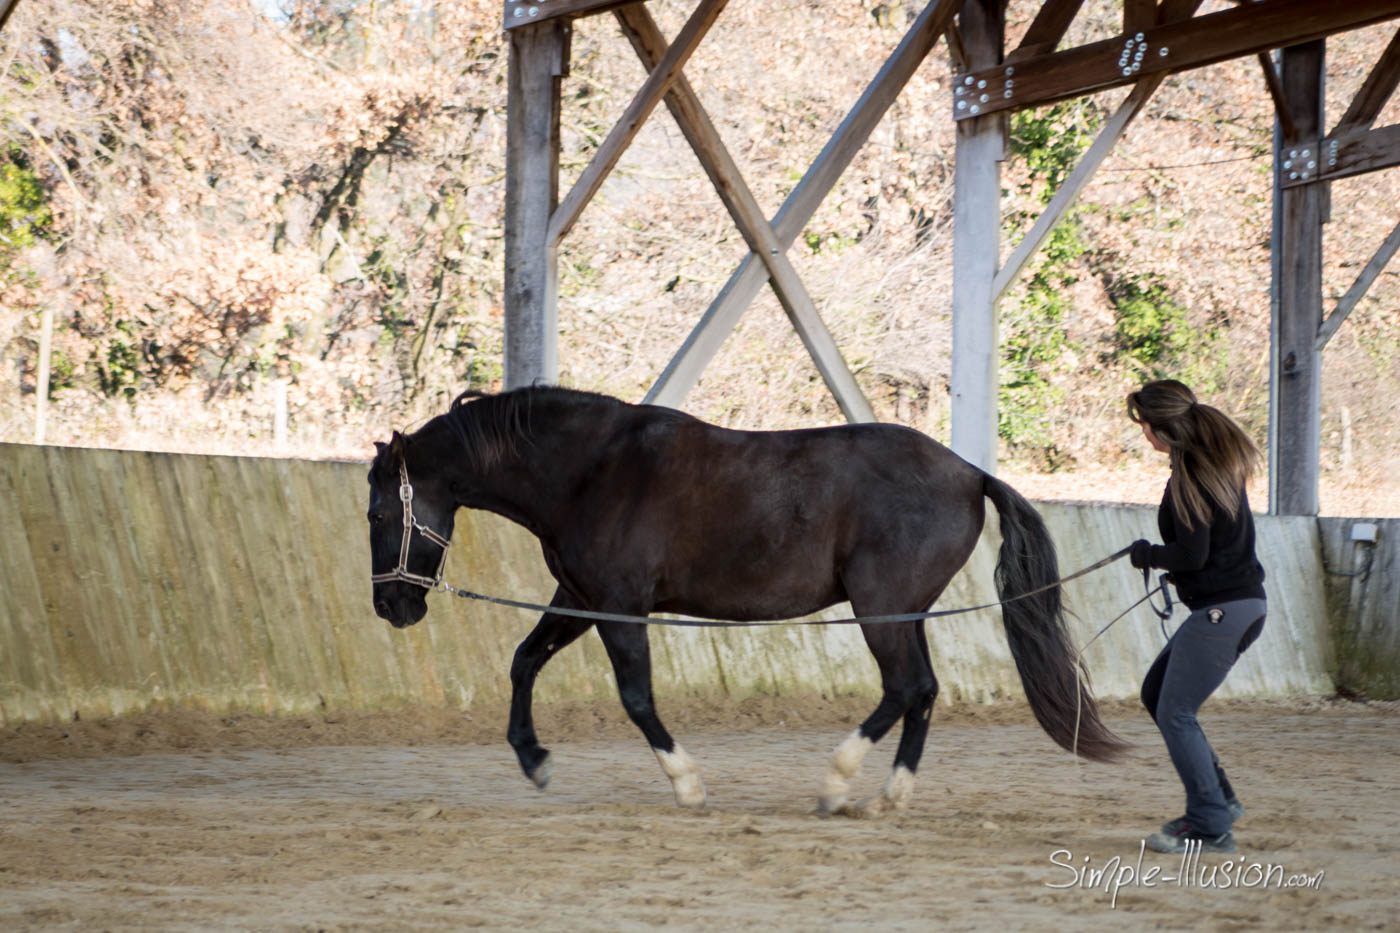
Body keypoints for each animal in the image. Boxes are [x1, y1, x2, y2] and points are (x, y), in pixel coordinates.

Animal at [364, 381, 1125, 812]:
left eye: (375, 514)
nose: (392, 609)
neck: (592, 470)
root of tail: (970, 472)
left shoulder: (618, 607)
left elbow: (636, 698)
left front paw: (687, 783)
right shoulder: (580, 597)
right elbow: (524, 660)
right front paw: (535, 761)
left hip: (879, 608)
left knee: (906, 687)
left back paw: (837, 784)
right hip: (902, 613)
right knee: (925, 691)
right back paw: (890, 794)